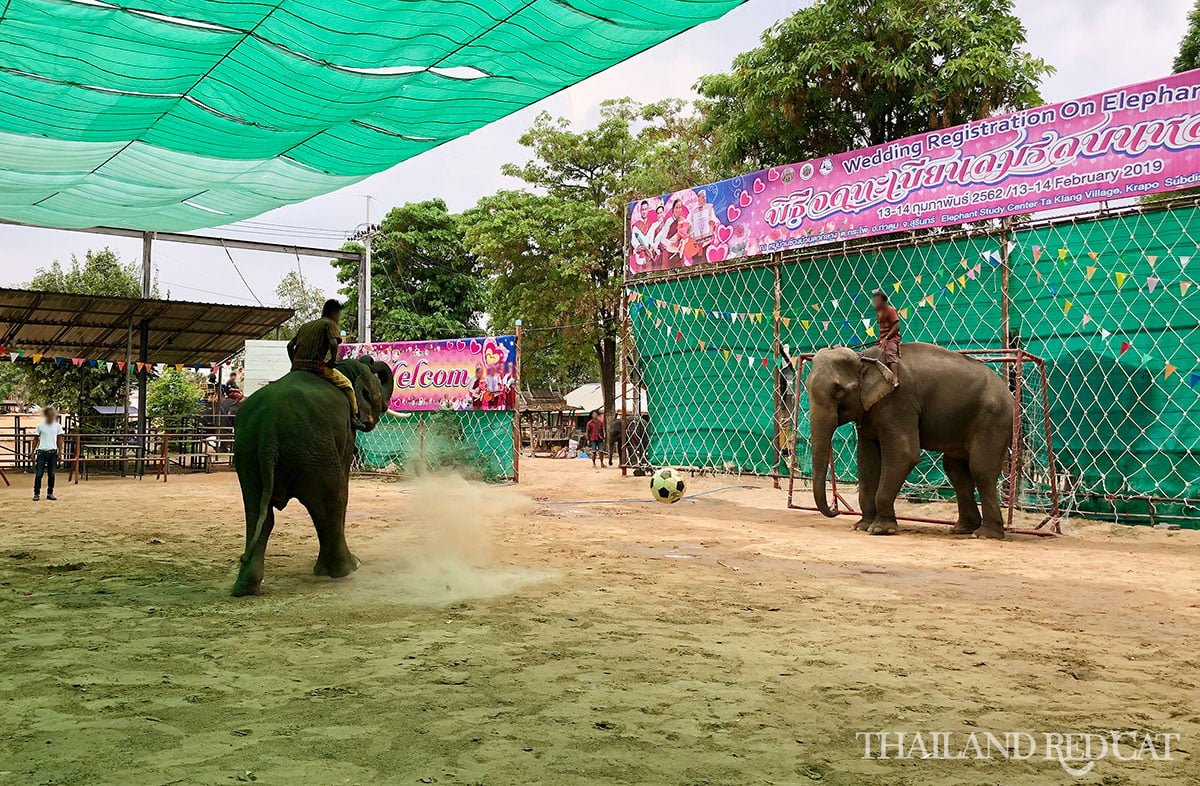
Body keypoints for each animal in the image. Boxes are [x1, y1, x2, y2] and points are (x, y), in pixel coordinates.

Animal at [226, 357, 391, 597]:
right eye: (376, 388)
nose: (368, 359)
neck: (343, 370)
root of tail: (268, 431)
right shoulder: (348, 433)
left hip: (248, 454)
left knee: (258, 513)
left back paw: (245, 588)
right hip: (314, 452)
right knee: (332, 503)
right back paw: (348, 569)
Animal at [806, 345, 1012, 542]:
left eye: (838, 390)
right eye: (806, 386)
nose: (835, 509)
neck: (865, 356)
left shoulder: (897, 401)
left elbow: (904, 453)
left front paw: (881, 530)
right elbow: (867, 461)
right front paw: (861, 526)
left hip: (993, 420)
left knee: (981, 469)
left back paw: (984, 535)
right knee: (956, 471)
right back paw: (963, 529)